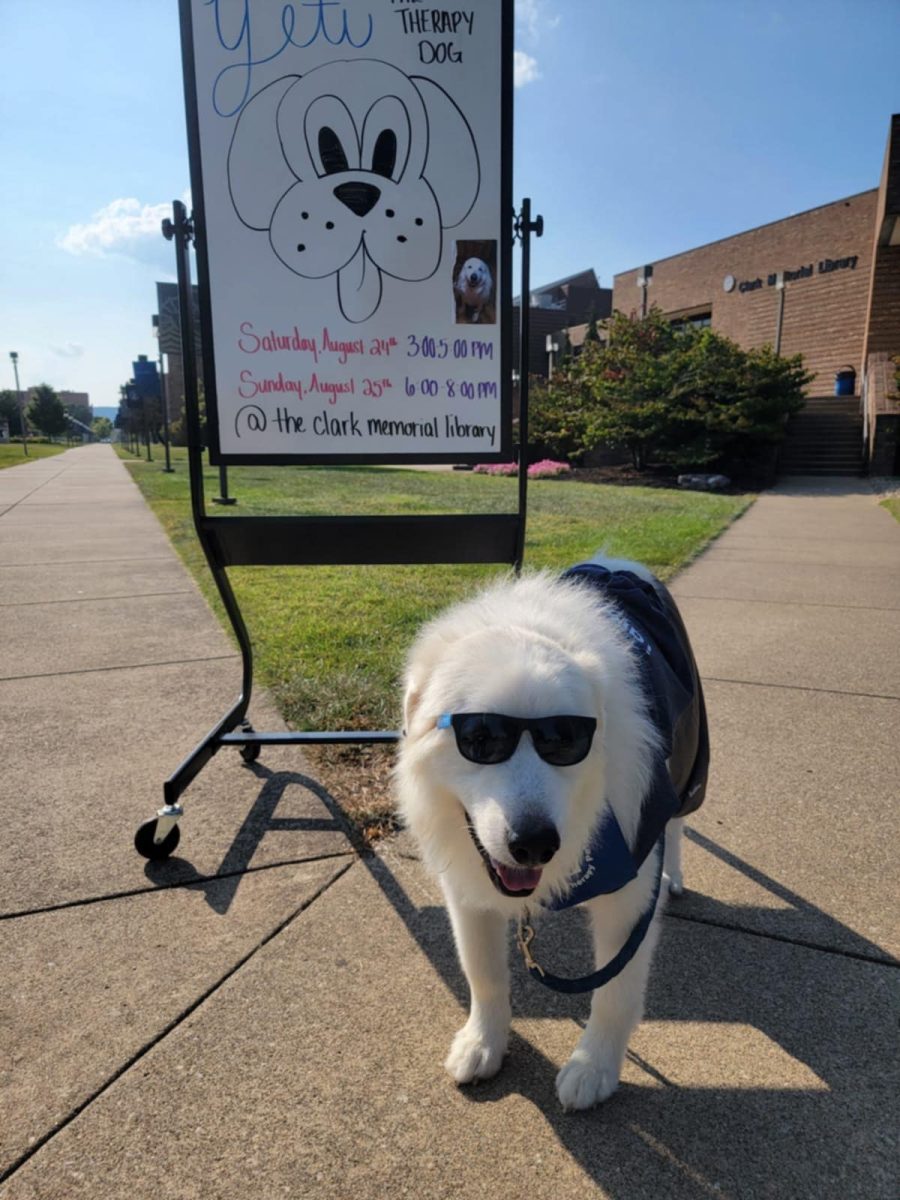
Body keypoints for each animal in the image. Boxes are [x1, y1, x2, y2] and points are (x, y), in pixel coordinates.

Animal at [398, 556, 710, 1108]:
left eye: (566, 740)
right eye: (480, 738)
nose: (534, 844)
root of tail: (618, 564)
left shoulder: (629, 898)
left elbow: (615, 994)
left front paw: (594, 1069)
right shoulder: (468, 889)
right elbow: (482, 973)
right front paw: (482, 1043)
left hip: (688, 764)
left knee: (675, 825)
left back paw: (673, 875)